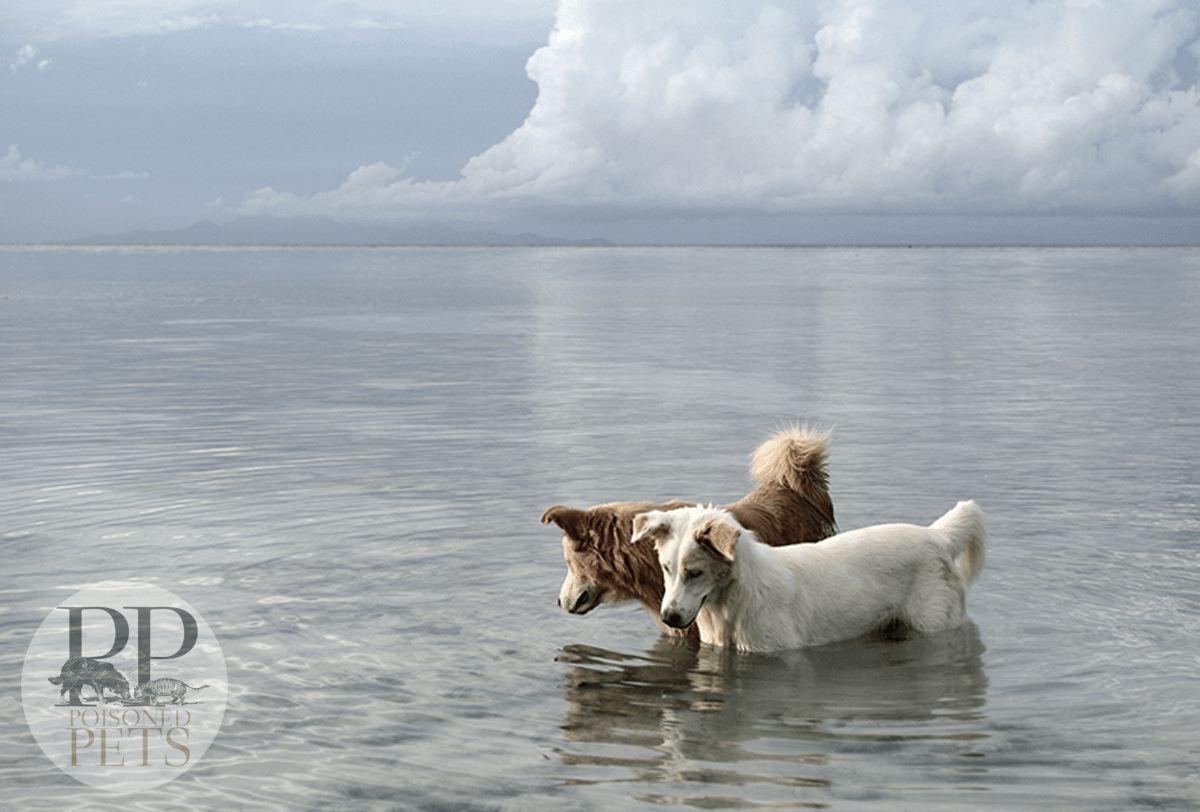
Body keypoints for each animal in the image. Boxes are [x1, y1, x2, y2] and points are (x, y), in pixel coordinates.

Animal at [628, 501, 984, 652]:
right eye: (666, 568)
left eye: (695, 572)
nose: (669, 618)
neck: (732, 602)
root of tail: (936, 534)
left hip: (935, 624)